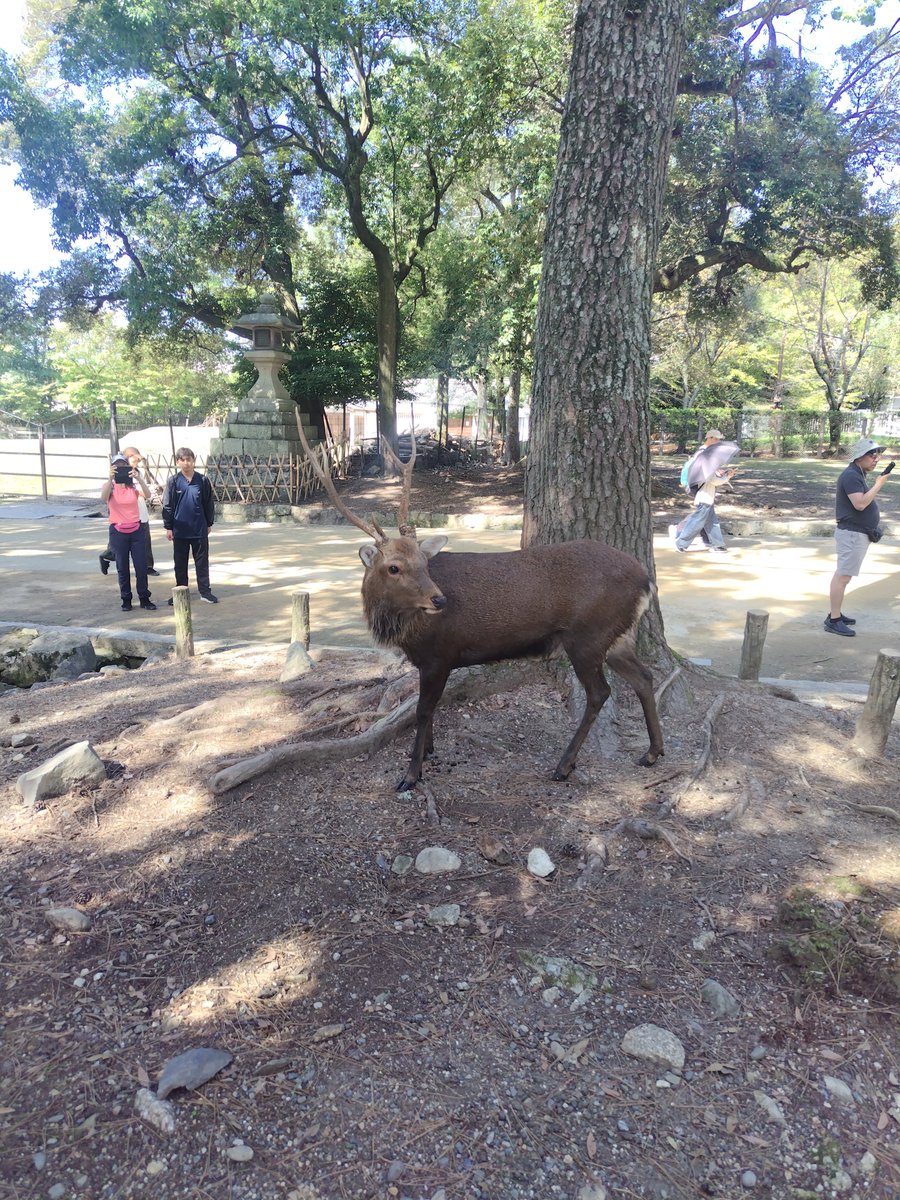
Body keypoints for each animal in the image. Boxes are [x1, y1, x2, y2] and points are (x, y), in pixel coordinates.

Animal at [296, 416, 664, 791]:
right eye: (394, 567)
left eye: (424, 562)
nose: (440, 598)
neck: (407, 632)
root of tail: (646, 580)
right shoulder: (427, 660)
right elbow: (427, 708)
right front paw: (429, 751)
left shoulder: (441, 653)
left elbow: (423, 710)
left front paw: (411, 774)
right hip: (616, 635)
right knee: (644, 676)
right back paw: (652, 752)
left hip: (587, 635)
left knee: (600, 693)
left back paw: (564, 765)